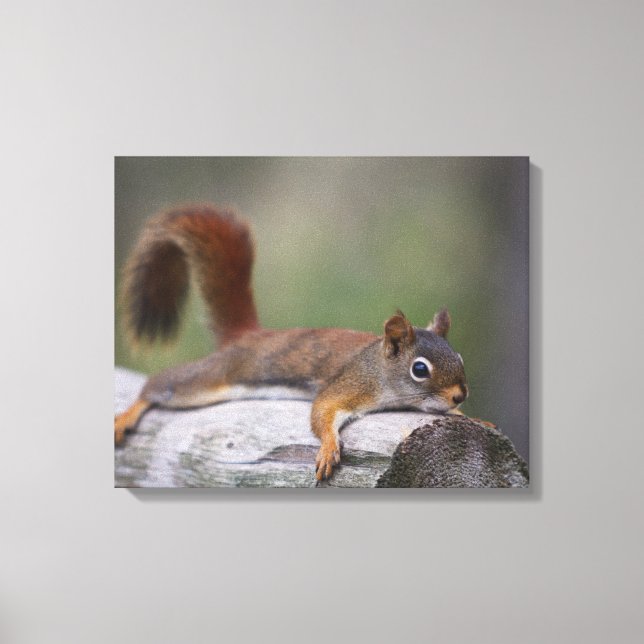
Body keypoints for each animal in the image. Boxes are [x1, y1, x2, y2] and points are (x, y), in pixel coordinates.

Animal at [114, 204, 469, 481]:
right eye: (419, 369)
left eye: (460, 358)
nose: (459, 395)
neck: (380, 369)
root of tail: (249, 336)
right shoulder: (351, 384)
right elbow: (322, 411)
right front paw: (328, 447)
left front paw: (468, 416)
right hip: (212, 379)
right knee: (161, 385)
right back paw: (128, 415)